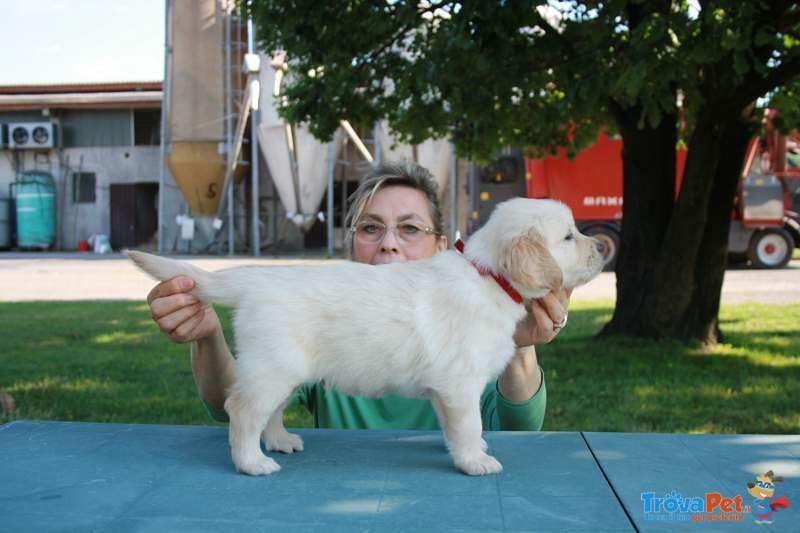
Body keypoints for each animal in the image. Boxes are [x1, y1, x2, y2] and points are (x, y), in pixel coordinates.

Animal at [128, 197, 604, 476]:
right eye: (568, 236)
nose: (602, 246)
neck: (490, 277)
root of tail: (257, 279)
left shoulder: (444, 389)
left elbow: (453, 426)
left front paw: (465, 450)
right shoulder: (460, 384)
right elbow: (467, 424)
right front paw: (476, 461)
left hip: (283, 368)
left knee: (270, 411)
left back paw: (280, 442)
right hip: (273, 367)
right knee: (243, 410)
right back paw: (252, 463)